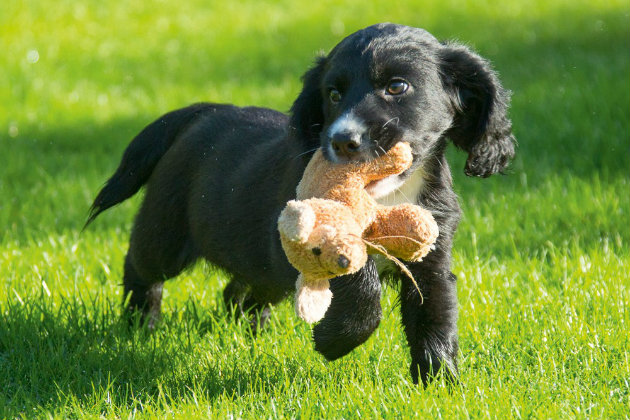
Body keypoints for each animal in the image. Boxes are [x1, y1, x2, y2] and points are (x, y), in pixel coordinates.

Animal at [86, 22, 516, 384]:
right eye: (333, 94)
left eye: (397, 86)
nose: (343, 140)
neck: (385, 198)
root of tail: (203, 111)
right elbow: (362, 286)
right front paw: (334, 341)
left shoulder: (431, 257)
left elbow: (436, 316)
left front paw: (440, 383)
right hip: (167, 232)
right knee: (142, 267)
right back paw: (139, 324)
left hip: (254, 256)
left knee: (240, 291)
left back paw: (251, 334)